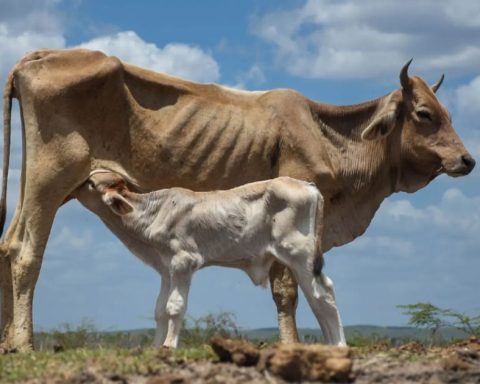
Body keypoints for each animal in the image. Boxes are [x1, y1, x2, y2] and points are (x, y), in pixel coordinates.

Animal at [73, 171, 344, 348]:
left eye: (90, 182)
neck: (153, 212)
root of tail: (307, 184)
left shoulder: (183, 262)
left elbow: (175, 306)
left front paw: (168, 346)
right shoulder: (166, 269)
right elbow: (160, 310)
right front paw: (156, 348)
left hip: (299, 254)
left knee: (323, 294)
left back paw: (339, 345)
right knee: (316, 297)